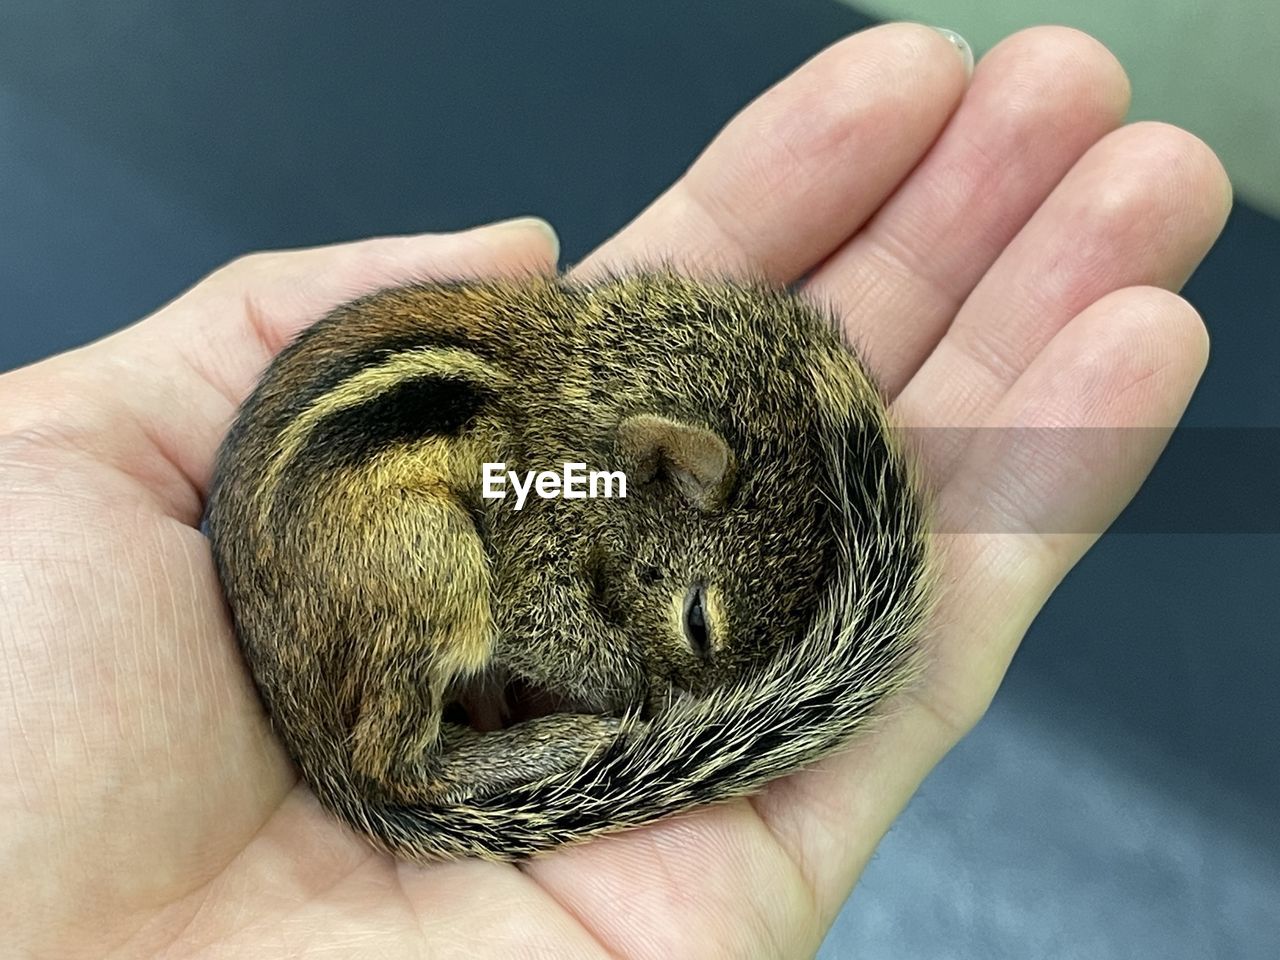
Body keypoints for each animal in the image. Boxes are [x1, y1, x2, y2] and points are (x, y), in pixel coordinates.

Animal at [207, 272, 931, 865]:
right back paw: (551, 741)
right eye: (697, 622)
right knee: (393, 762)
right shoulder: (539, 530)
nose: (697, 706)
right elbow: (535, 618)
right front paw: (644, 698)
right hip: (431, 558)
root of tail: (297, 718)